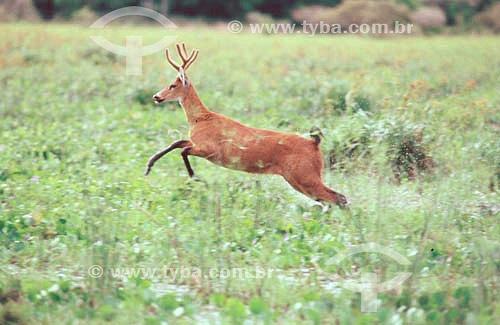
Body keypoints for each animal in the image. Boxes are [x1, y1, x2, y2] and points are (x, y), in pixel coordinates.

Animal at [145, 43, 348, 206]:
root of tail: (314, 143)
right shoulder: (199, 144)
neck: (201, 119)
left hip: (304, 174)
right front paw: (149, 166)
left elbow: (183, 150)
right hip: (297, 178)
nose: (156, 96)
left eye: (172, 85)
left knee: (338, 198)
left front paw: (195, 177)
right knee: (332, 199)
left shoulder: (211, 150)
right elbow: (178, 143)